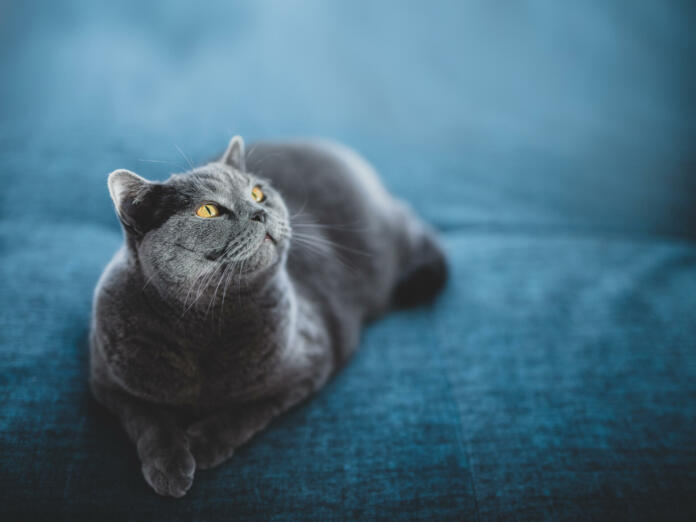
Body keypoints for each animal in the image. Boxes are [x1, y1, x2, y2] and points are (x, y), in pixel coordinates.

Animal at [89, 135, 446, 496]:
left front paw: (203, 445)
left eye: (258, 193)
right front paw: (169, 467)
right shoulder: (106, 381)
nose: (259, 212)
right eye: (208, 210)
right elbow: (148, 420)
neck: (205, 321)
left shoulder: (310, 362)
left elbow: (247, 410)